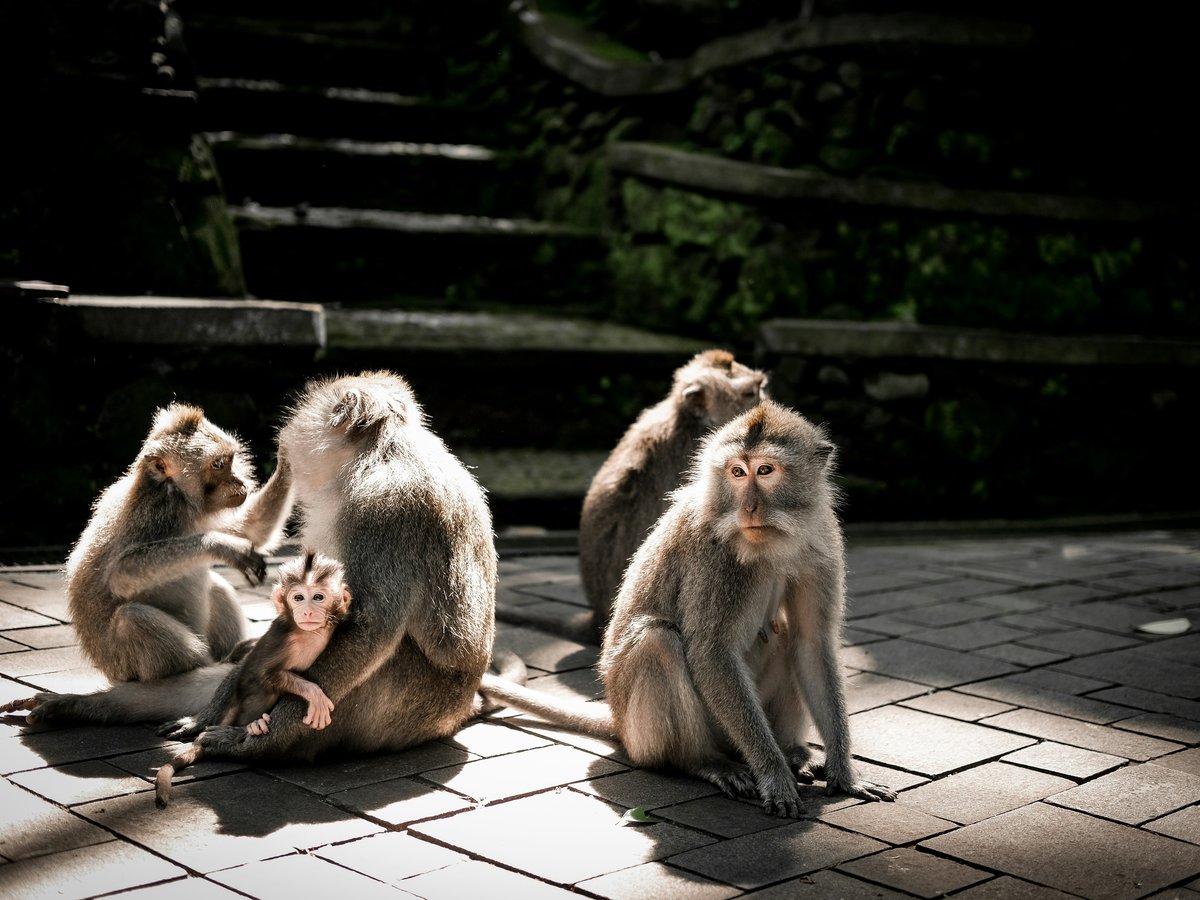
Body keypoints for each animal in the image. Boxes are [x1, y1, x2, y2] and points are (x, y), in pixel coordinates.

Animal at [66, 403, 293, 683]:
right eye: (219, 464)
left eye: (230, 461)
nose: (239, 481)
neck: (179, 497)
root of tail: (111, 673)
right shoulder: (155, 513)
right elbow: (122, 573)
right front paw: (220, 545)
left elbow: (252, 529)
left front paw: (289, 456)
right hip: (126, 667)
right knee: (131, 619)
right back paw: (212, 666)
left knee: (216, 586)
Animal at [154, 549, 351, 807]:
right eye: (298, 597)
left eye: (318, 597)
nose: (307, 611)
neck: (309, 633)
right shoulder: (282, 639)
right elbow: (262, 672)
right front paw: (314, 694)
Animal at [480, 400, 896, 817]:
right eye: (737, 472)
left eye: (765, 470)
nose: (749, 507)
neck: (773, 542)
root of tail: (618, 719)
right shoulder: (714, 555)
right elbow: (711, 650)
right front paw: (774, 775)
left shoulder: (822, 543)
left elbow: (812, 644)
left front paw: (845, 775)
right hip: (654, 732)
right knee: (658, 640)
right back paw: (700, 761)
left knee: (786, 634)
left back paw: (793, 752)